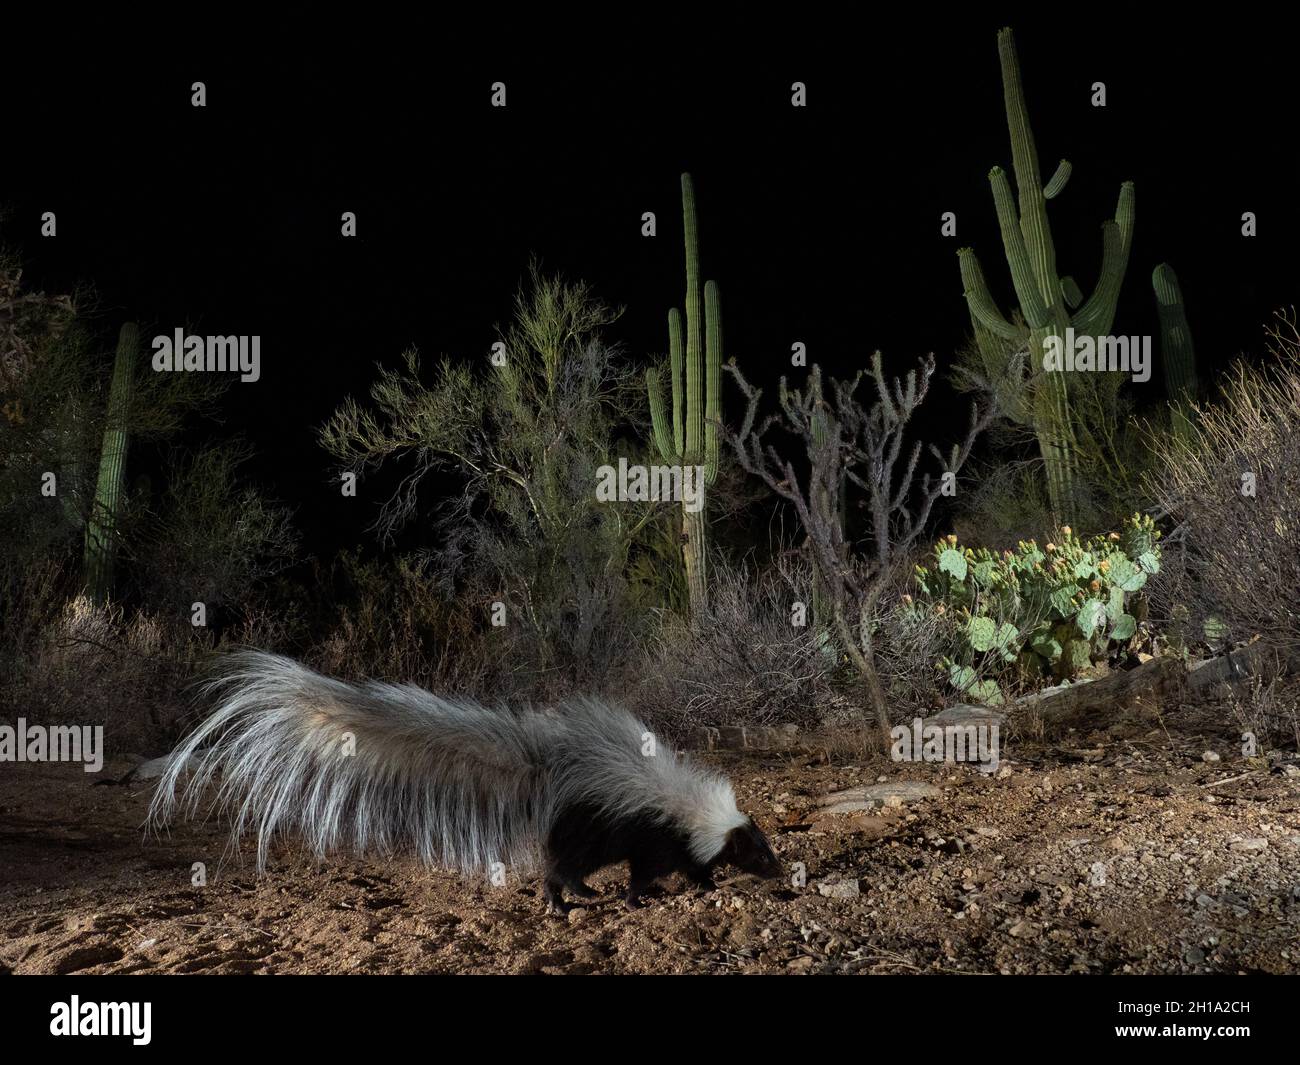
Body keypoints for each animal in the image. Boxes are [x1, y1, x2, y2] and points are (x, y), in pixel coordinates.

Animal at [149, 650, 780, 915]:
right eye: (761, 853)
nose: (780, 871)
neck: (689, 805)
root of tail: (551, 767)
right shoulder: (652, 831)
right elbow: (650, 869)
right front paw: (648, 896)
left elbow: (685, 866)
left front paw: (702, 884)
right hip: (585, 826)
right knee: (560, 867)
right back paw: (568, 901)